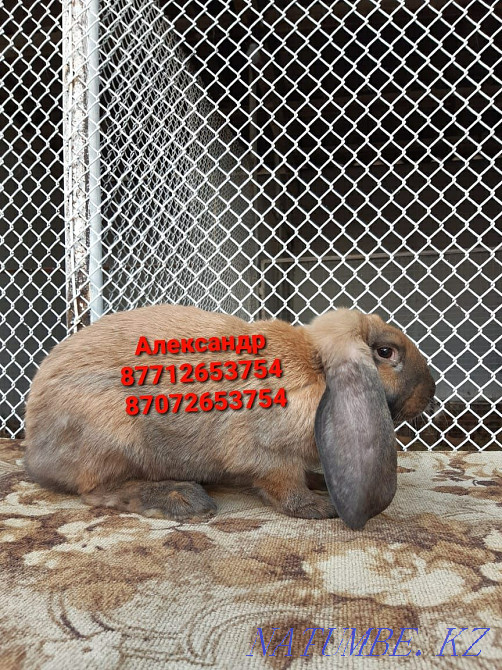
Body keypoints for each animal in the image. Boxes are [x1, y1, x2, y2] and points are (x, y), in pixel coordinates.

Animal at [23, 305, 435, 529]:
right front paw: (320, 508)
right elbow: (284, 486)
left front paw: (321, 484)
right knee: (95, 490)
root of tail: (36, 450)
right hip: (113, 437)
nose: (430, 393)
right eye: (386, 352)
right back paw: (184, 500)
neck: (316, 368)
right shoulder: (269, 454)